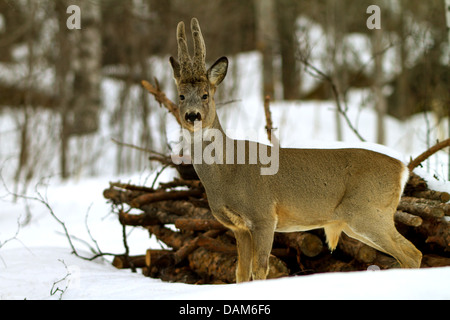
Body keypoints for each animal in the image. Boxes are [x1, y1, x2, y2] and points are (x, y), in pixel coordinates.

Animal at [168, 18, 422, 282]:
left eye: (205, 95)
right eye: (181, 96)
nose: (192, 116)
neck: (227, 171)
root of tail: (402, 169)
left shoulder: (263, 215)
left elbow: (260, 270)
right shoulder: (238, 227)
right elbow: (241, 273)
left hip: (369, 211)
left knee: (412, 253)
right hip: (358, 220)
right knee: (410, 253)